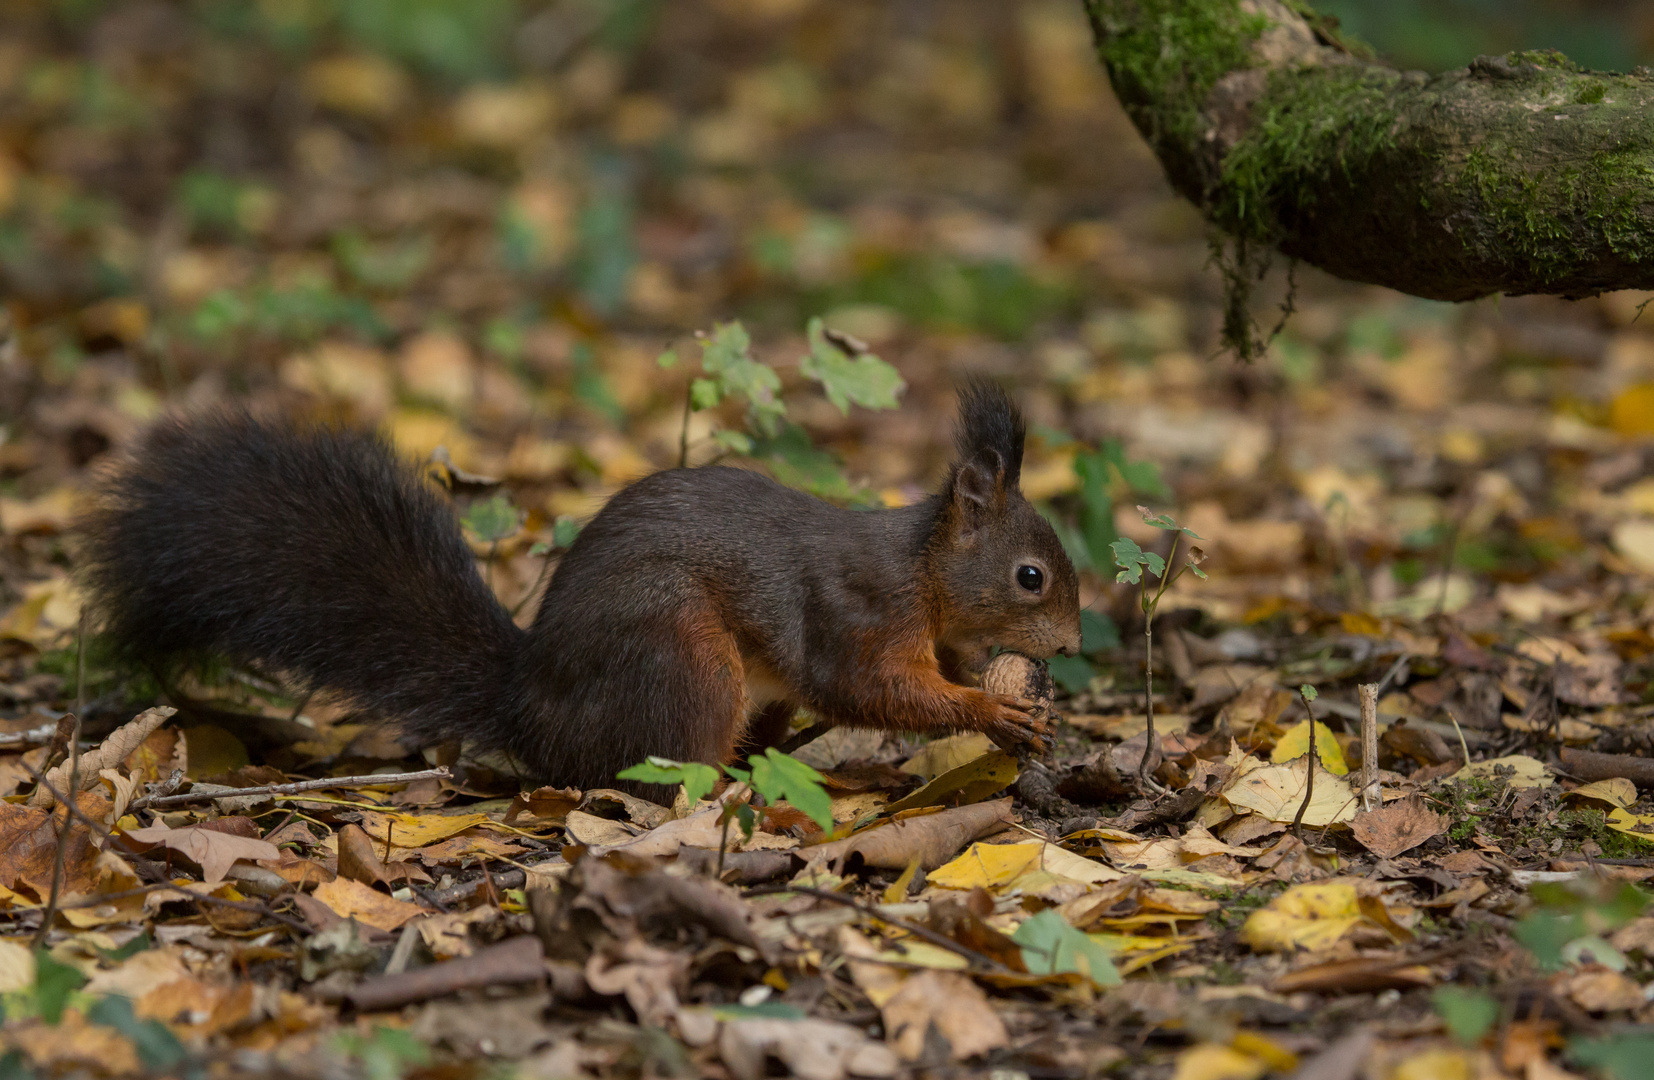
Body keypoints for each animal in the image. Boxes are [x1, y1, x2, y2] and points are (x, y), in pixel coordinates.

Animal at [77, 378, 1085, 790]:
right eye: (1031, 577)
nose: (1075, 644)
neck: (923, 570)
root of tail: (531, 710)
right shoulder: (860, 610)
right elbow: (872, 687)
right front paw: (995, 710)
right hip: (680, 656)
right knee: (657, 767)